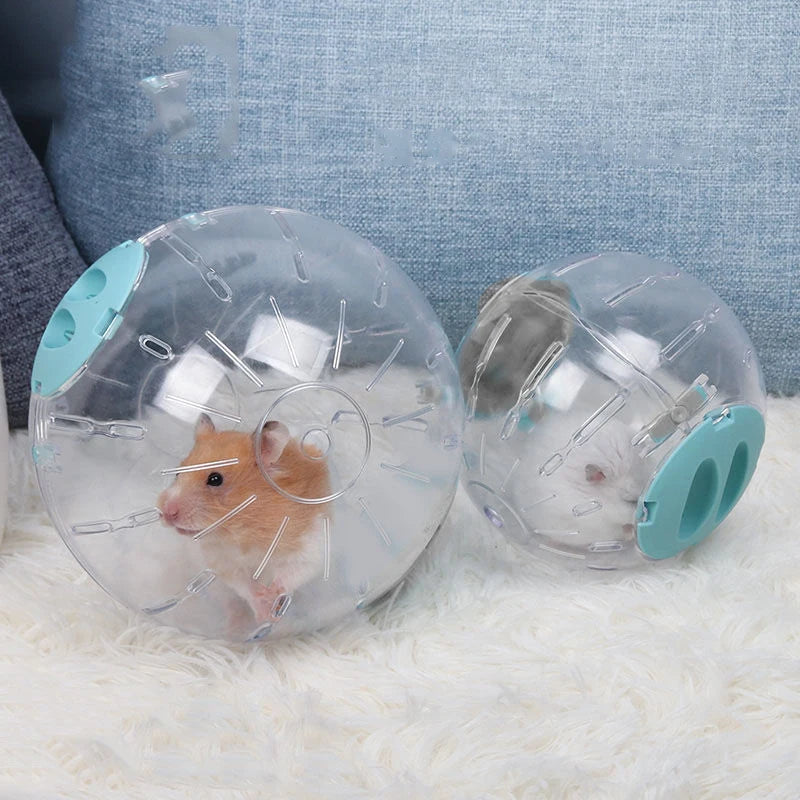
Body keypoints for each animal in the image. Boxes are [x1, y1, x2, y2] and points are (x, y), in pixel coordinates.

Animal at [157, 414, 330, 625]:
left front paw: (271, 606)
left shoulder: (309, 548)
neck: (244, 528)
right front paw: (263, 611)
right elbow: (244, 584)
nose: (165, 512)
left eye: (215, 479)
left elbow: (288, 576)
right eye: (177, 473)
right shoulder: (221, 561)